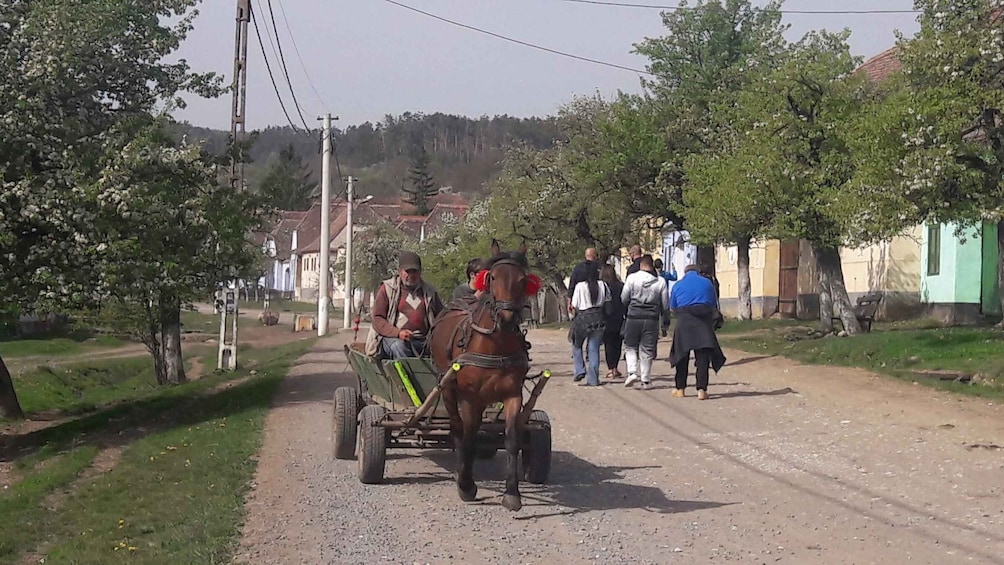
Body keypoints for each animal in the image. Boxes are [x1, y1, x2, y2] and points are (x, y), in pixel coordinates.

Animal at [427, 236, 538, 509]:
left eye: (523, 280)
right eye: (493, 277)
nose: (507, 318)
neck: (495, 345)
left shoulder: (513, 395)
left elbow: (511, 439)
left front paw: (512, 492)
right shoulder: (470, 398)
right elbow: (468, 437)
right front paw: (467, 485)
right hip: (448, 388)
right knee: (457, 430)